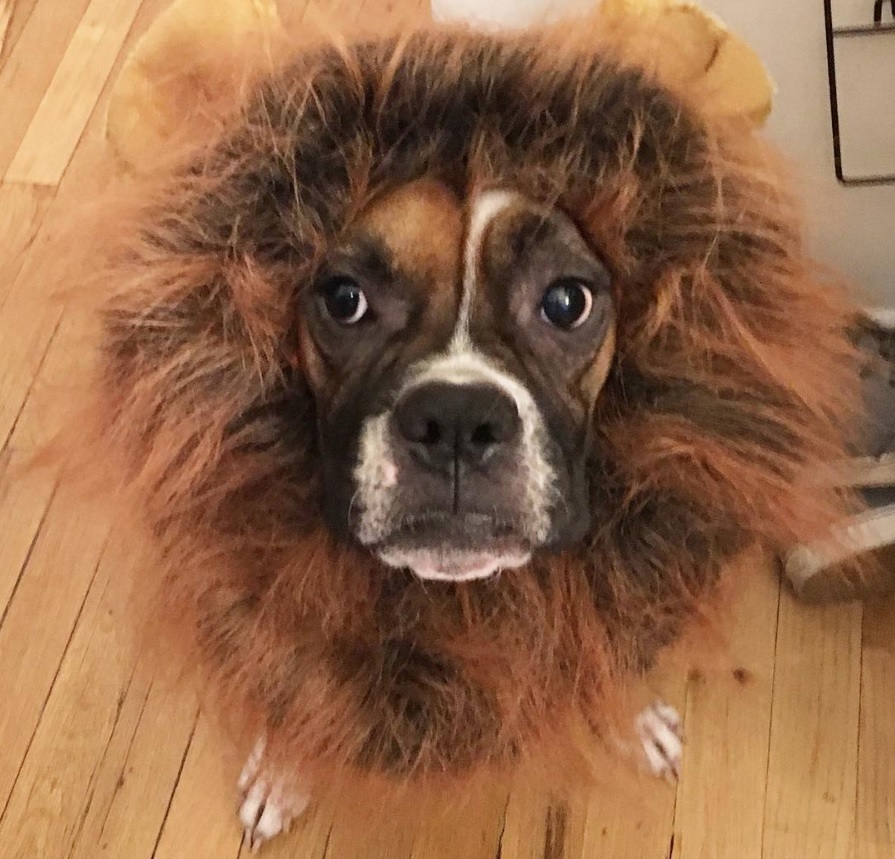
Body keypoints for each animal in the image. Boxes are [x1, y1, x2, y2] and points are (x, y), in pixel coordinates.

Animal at [77, 16, 860, 848]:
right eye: (343, 298)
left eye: (567, 301)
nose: (455, 419)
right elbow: (295, 677)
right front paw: (283, 770)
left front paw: (629, 718)